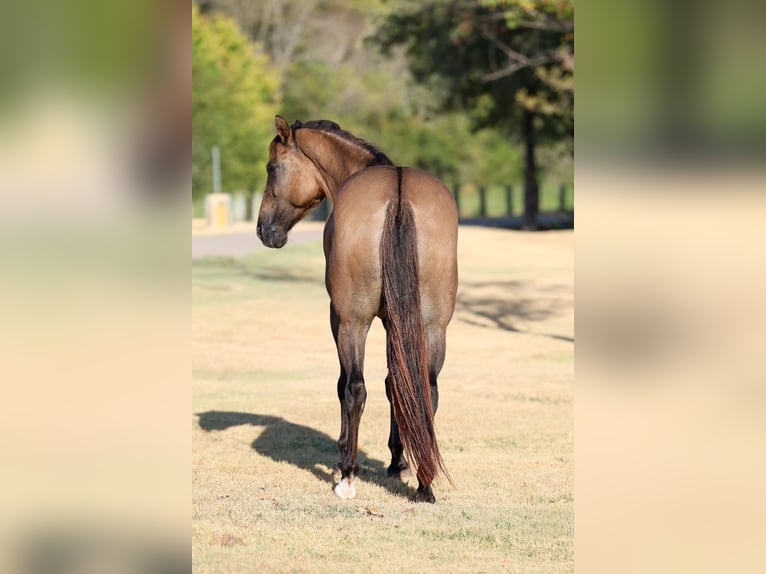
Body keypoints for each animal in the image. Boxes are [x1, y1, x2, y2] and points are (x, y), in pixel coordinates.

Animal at [256, 116, 458, 503]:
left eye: (272, 168)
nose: (263, 230)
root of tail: (398, 196)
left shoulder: (338, 318)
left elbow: (346, 385)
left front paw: (342, 460)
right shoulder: (399, 323)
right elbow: (397, 383)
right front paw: (397, 461)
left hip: (353, 323)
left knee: (355, 388)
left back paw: (348, 476)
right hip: (433, 327)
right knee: (426, 389)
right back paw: (424, 481)